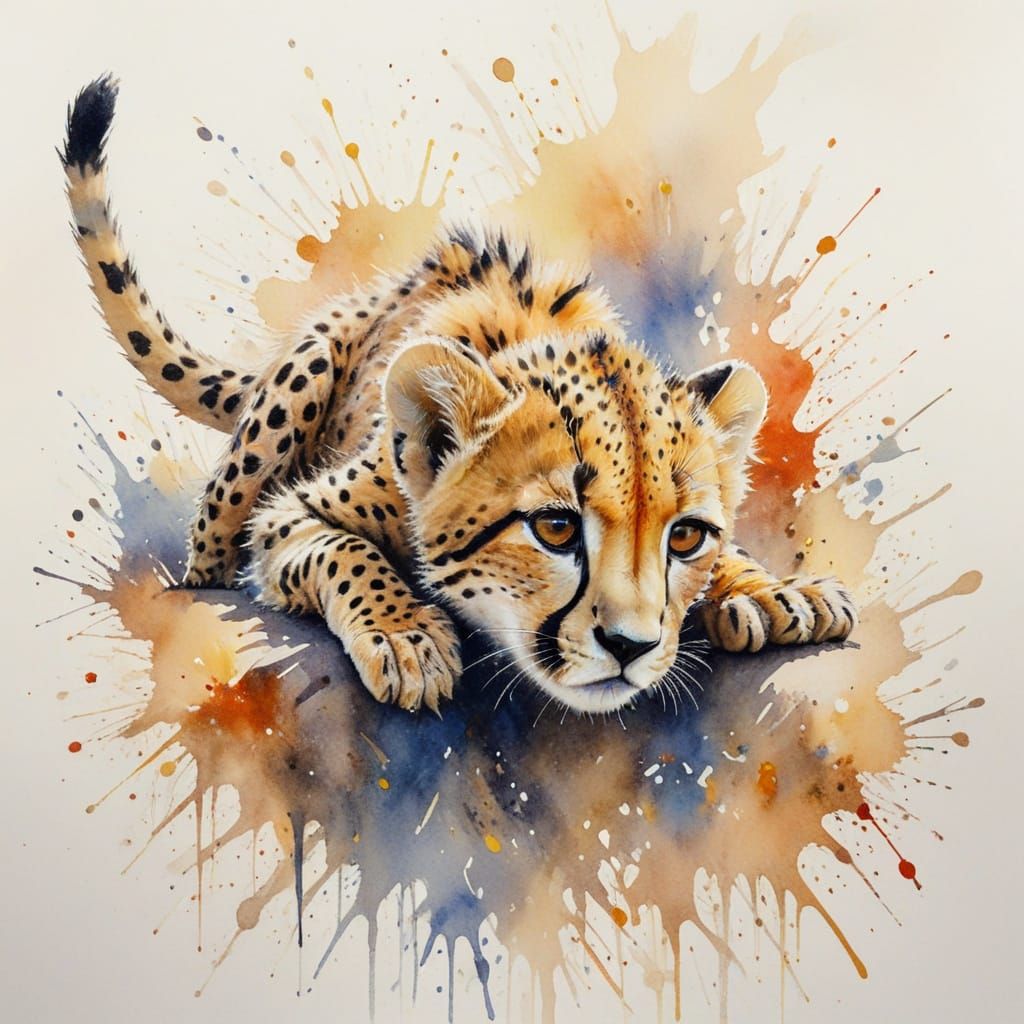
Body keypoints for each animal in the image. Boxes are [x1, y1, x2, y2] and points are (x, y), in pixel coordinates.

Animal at [62, 76, 856, 715]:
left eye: (685, 535)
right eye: (556, 528)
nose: (630, 646)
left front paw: (770, 590)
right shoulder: (288, 516)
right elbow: (345, 550)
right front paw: (403, 634)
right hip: (293, 397)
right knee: (211, 548)